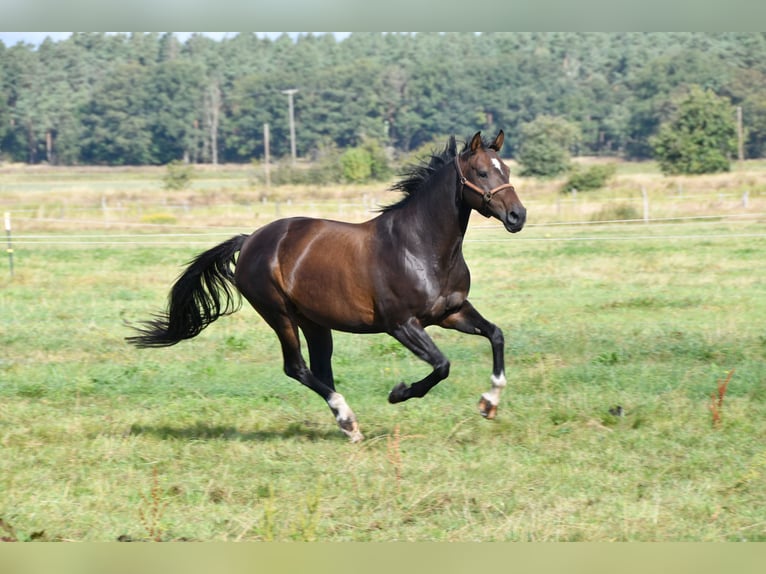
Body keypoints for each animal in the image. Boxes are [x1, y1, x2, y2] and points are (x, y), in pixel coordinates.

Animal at [130, 132, 528, 446]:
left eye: (507, 171)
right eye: (481, 172)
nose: (517, 216)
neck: (420, 246)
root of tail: (251, 239)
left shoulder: (452, 312)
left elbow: (496, 335)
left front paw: (489, 403)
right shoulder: (402, 324)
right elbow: (442, 365)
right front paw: (399, 393)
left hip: (315, 322)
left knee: (320, 369)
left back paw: (346, 423)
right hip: (279, 314)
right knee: (296, 367)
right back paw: (348, 420)